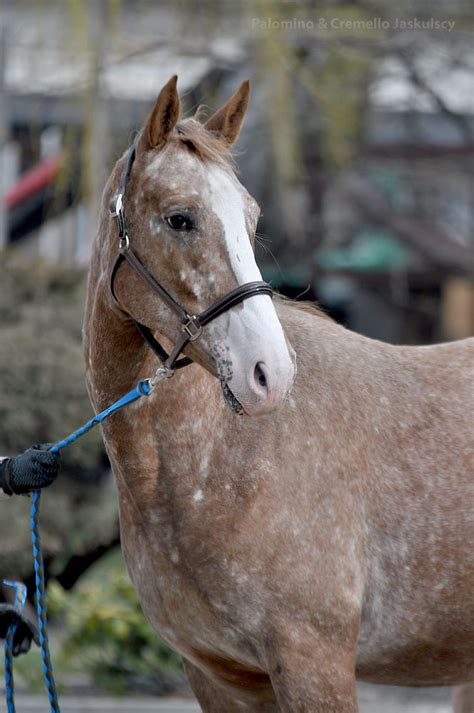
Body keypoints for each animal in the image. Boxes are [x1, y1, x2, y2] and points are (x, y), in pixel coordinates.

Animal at [85, 75, 474, 708]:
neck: (215, 464)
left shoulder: (314, 664)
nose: (270, 374)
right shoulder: (220, 677)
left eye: (251, 217)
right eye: (179, 218)